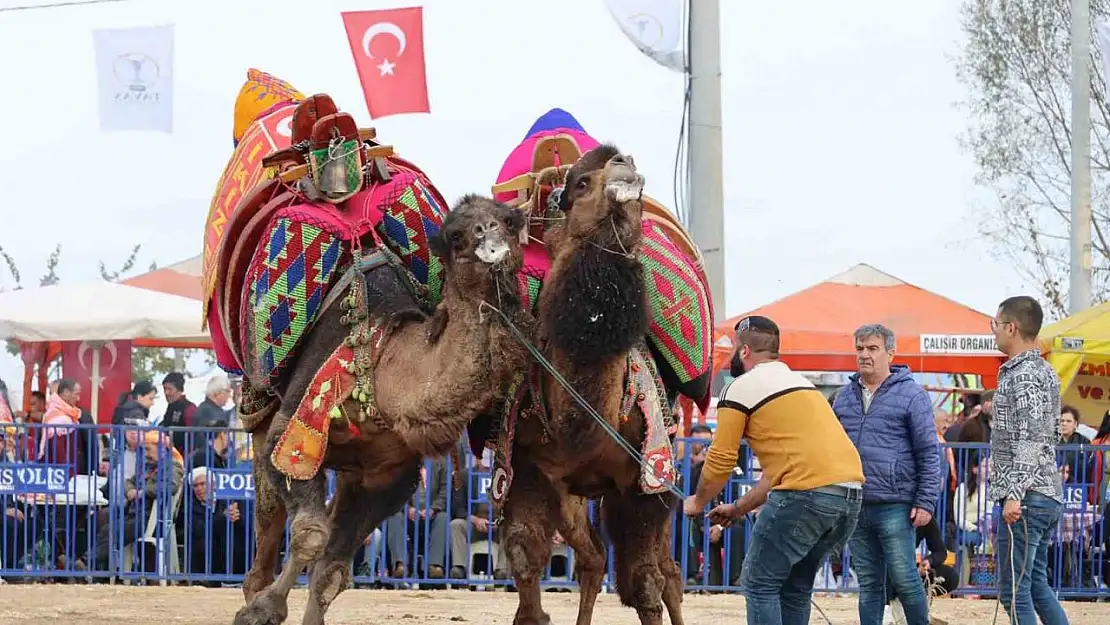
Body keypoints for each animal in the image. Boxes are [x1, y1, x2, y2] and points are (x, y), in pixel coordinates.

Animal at [231, 195, 535, 625]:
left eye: (509, 221)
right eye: (455, 235)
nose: (488, 232)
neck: (383, 371)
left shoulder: (388, 478)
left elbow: (331, 570)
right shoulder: (291, 437)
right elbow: (310, 535)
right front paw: (262, 609)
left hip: (350, 471)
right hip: (259, 419)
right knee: (267, 527)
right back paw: (253, 593)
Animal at [503, 144, 683, 625]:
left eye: (634, 166)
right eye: (582, 183)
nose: (625, 167)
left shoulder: (645, 484)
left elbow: (645, 586)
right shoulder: (533, 471)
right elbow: (524, 557)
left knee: (669, 574)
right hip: (574, 497)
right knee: (593, 559)